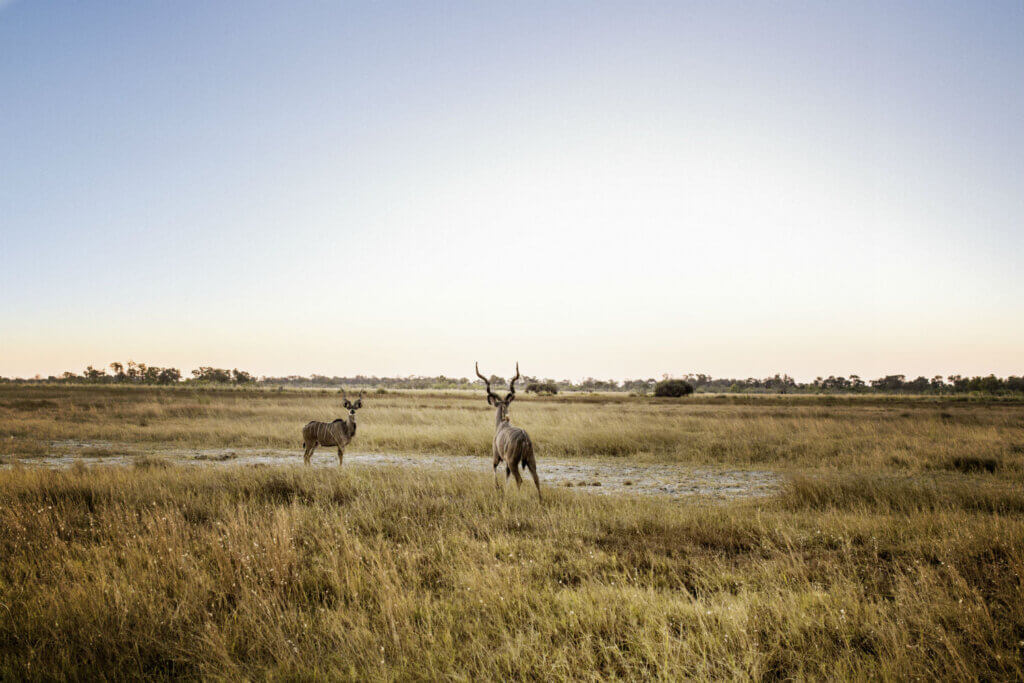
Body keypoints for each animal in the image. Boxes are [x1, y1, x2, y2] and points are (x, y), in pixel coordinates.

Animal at [479, 362, 544, 501]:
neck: (502, 424)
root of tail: (524, 437)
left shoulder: (497, 456)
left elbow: (494, 469)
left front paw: (498, 489)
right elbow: (506, 477)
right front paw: (506, 492)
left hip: (513, 462)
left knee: (519, 480)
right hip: (530, 460)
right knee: (536, 478)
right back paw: (540, 500)